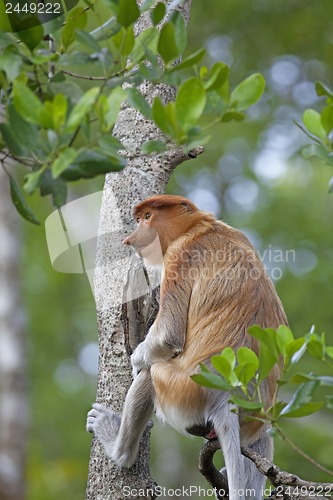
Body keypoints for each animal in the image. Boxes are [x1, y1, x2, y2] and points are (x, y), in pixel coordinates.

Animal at [87, 193, 286, 498]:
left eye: (147, 217)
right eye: (139, 218)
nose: (131, 239)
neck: (199, 227)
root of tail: (227, 396)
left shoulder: (178, 256)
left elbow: (168, 335)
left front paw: (136, 359)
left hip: (182, 392)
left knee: (152, 373)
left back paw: (117, 447)